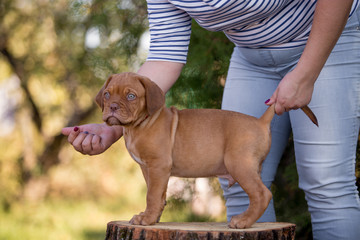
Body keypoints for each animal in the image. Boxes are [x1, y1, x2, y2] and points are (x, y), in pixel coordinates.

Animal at [95, 71, 318, 229]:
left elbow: (152, 195)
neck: (139, 125)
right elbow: (158, 195)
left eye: (131, 96)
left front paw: (147, 219)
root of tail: (260, 121)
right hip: (252, 168)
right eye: (107, 94)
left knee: (262, 194)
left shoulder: (158, 166)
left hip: (239, 165)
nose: (112, 107)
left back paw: (243, 221)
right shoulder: (149, 169)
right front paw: (152, 217)